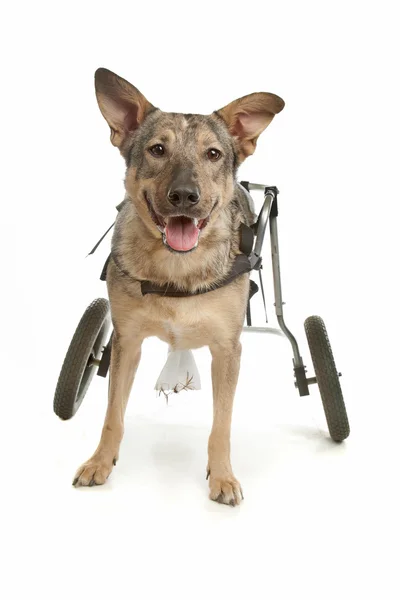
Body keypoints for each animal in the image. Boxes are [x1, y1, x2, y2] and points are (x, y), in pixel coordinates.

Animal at [72, 68, 284, 504]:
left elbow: (222, 425)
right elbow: (112, 414)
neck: (177, 267)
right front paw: (100, 462)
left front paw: (222, 477)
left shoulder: (228, 349)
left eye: (213, 154)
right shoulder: (127, 340)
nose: (185, 196)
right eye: (157, 149)